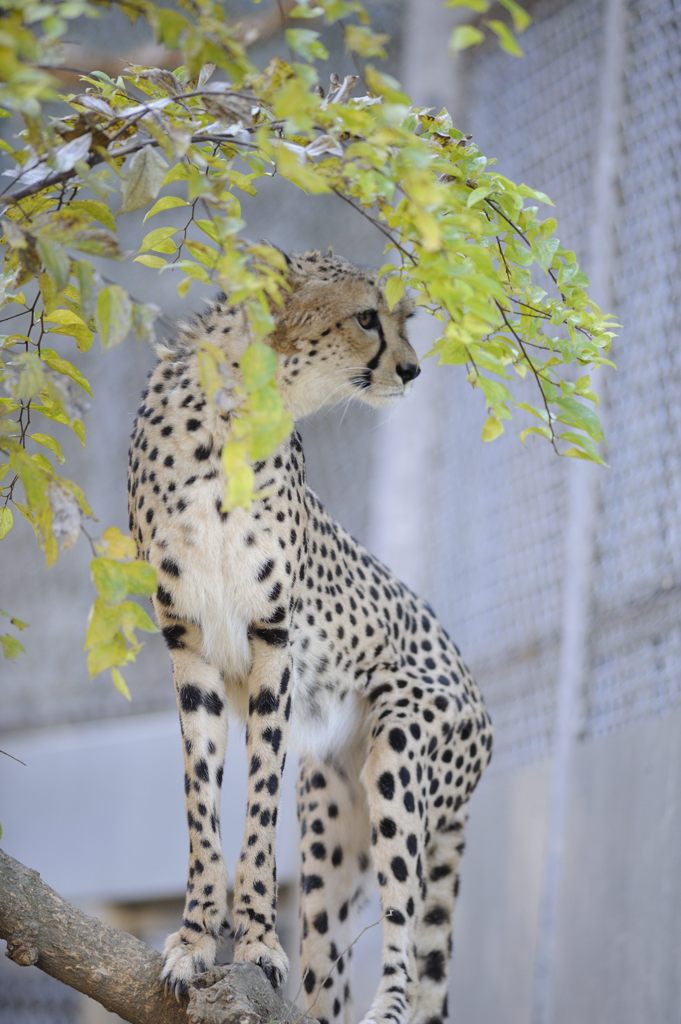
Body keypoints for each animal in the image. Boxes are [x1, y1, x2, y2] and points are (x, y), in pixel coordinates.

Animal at [127, 249, 491, 1024]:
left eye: (403, 318)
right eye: (367, 318)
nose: (412, 369)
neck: (232, 421)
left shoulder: (274, 641)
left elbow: (259, 807)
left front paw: (257, 941)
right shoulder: (189, 643)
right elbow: (200, 804)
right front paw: (196, 939)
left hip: (401, 752)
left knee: (405, 933)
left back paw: (386, 1007)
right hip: (331, 817)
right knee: (330, 961)